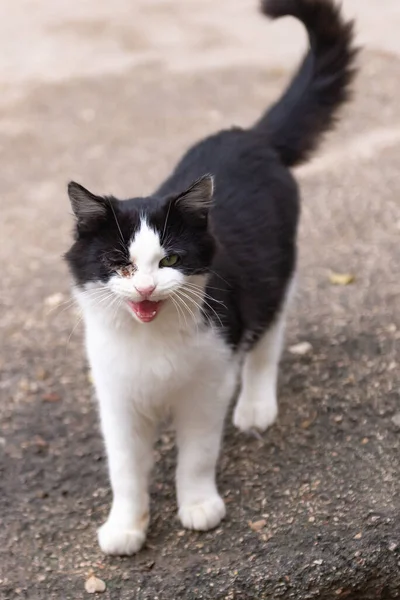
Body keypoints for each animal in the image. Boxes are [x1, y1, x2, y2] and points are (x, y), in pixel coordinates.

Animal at [65, 0, 356, 556]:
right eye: (120, 264)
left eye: (170, 260)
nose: (145, 288)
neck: (151, 340)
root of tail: (250, 136)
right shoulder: (116, 396)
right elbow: (125, 469)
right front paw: (126, 525)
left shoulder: (207, 383)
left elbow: (197, 453)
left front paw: (199, 505)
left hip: (276, 278)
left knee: (266, 342)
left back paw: (256, 405)